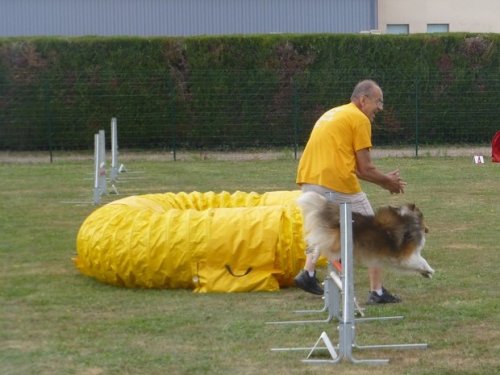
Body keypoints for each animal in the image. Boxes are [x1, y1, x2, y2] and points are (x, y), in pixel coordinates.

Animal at [296, 192, 434, 278]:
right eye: (423, 217)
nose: (428, 229)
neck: (409, 220)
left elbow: (420, 262)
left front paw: (426, 273)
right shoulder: (406, 256)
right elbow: (422, 260)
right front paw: (430, 270)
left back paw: (313, 256)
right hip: (337, 245)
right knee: (320, 243)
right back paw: (314, 255)